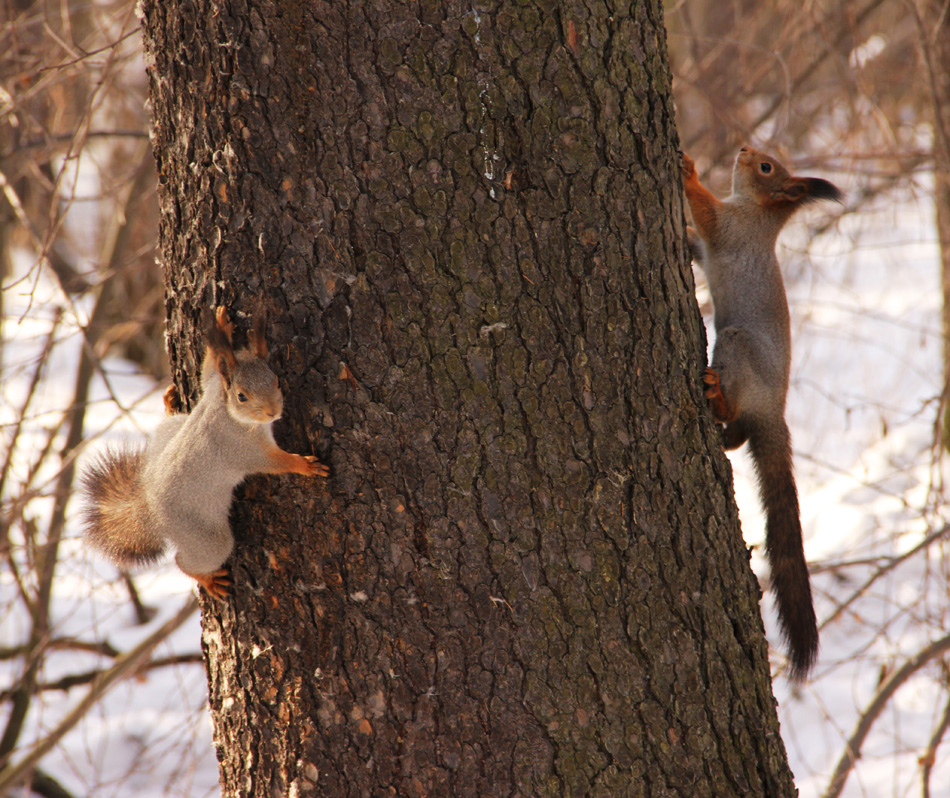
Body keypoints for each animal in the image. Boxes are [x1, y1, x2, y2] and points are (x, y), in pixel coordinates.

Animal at [80, 306, 330, 600]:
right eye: (242, 396)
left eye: (277, 381)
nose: (273, 412)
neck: (227, 411)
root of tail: (149, 508)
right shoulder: (240, 448)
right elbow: (272, 462)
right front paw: (305, 465)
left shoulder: (212, 384)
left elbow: (206, 370)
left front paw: (222, 322)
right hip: (205, 537)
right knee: (185, 560)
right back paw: (209, 580)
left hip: (168, 436)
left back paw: (169, 404)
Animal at [684, 145, 840, 680]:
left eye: (767, 168)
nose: (745, 150)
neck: (759, 212)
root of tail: (774, 413)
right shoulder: (721, 238)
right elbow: (697, 244)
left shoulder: (732, 228)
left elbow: (706, 213)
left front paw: (687, 171)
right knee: (737, 438)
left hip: (735, 346)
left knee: (735, 415)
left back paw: (717, 394)